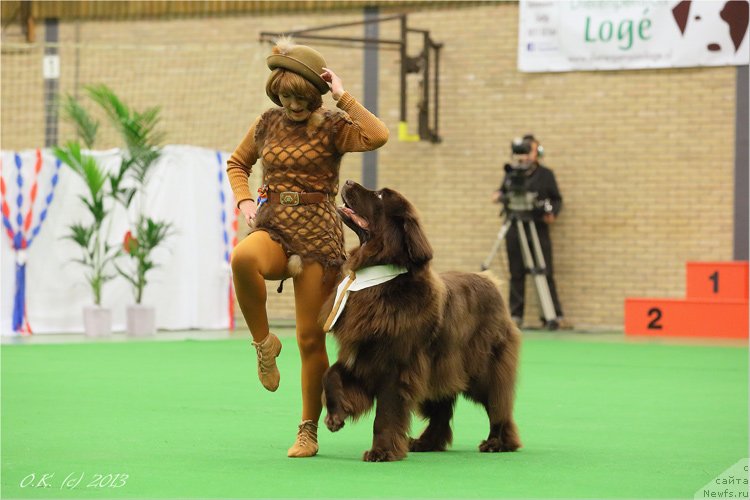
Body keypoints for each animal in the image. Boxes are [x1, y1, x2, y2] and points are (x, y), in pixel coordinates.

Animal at [322, 180, 524, 460]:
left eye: (380, 196)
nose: (349, 181)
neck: (378, 282)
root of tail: (491, 281)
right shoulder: (362, 356)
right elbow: (330, 374)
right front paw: (335, 417)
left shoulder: (395, 365)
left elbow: (385, 413)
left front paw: (381, 451)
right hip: (440, 368)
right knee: (442, 410)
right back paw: (426, 442)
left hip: (483, 367)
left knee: (498, 405)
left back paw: (498, 442)